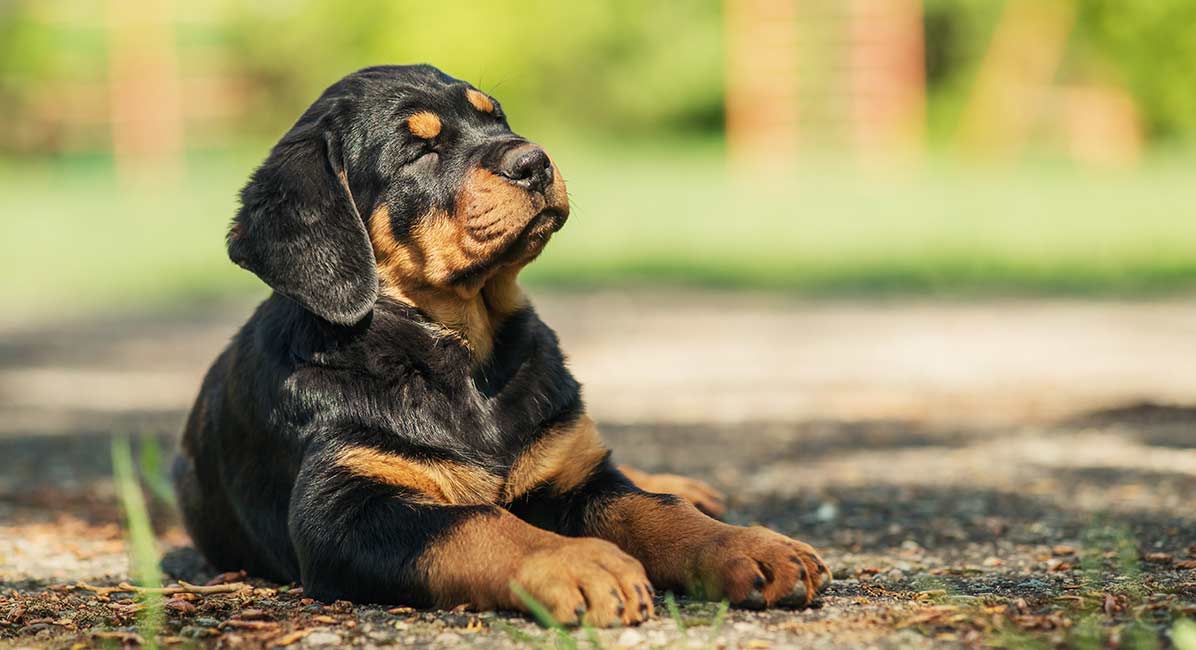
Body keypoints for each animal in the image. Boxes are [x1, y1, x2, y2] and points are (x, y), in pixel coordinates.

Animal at [174, 64, 832, 627]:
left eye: (495, 118)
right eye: (420, 149)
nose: (535, 161)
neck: (463, 358)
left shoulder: (570, 475)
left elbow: (654, 508)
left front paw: (750, 545)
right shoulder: (341, 508)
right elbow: (477, 521)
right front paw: (580, 561)